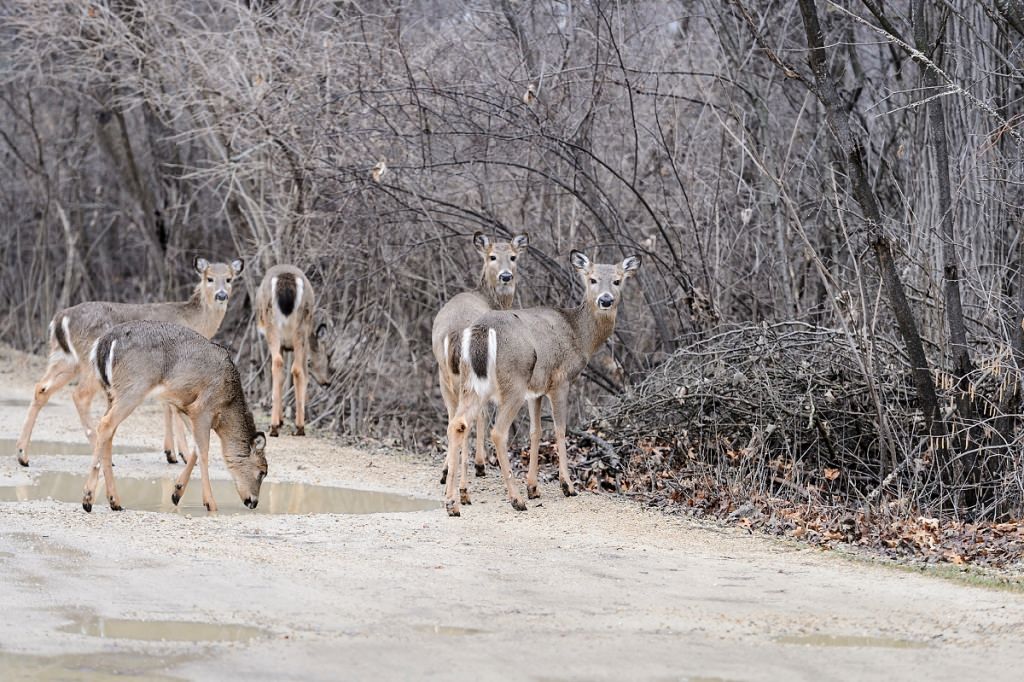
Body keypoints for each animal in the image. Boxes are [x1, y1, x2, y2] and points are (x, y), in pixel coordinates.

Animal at [16, 254, 243, 466]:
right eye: (209, 278)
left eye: (229, 278)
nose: (221, 295)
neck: (195, 320)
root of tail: (60, 319)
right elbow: (172, 408)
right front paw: (184, 455)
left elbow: (166, 406)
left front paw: (170, 453)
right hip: (88, 362)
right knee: (80, 396)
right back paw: (102, 455)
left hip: (64, 359)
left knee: (41, 388)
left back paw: (23, 455)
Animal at [83, 321, 266, 512]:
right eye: (262, 472)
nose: (253, 502)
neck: (227, 404)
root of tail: (104, 342)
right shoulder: (202, 408)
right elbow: (204, 451)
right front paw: (210, 503)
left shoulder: (185, 407)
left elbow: (195, 448)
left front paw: (177, 492)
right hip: (134, 388)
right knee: (105, 425)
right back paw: (88, 499)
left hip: (111, 393)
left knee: (109, 432)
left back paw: (114, 501)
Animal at [254, 262, 331, 438]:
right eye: (327, 355)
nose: (327, 382)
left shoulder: (284, 345)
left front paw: (281, 420)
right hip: (299, 328)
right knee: (295, 369)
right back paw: (296, 426)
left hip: (274, 325)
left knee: (279, 365)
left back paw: (277, 427)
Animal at [430, 229, 532, 489]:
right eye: (492, 256)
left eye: (513, 257)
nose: (506, 276)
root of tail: (455, 333)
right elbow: (484, 414)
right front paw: (480, 464)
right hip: (473, 372)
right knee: (469, 417)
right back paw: (468, 472)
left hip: (443, 373)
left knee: (451, 417)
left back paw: (446, 471)